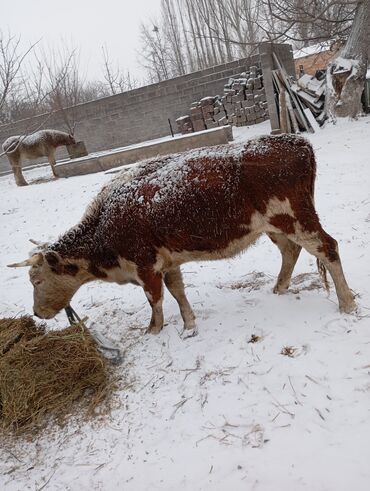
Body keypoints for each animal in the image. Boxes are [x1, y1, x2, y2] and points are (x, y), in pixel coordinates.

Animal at [7, 135, 356, 334]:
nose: (37, 312)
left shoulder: (145, 266)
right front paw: (189, 325)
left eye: (36, 280)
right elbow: (177, 292)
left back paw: (347, 304)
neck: (104, 223)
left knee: (328, 247)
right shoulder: (168, 262)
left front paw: (153, 330)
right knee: (291, 251)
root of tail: (294, 141)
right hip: (274, 226)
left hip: (296, 219)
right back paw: (279, 288)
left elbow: (155, 300)